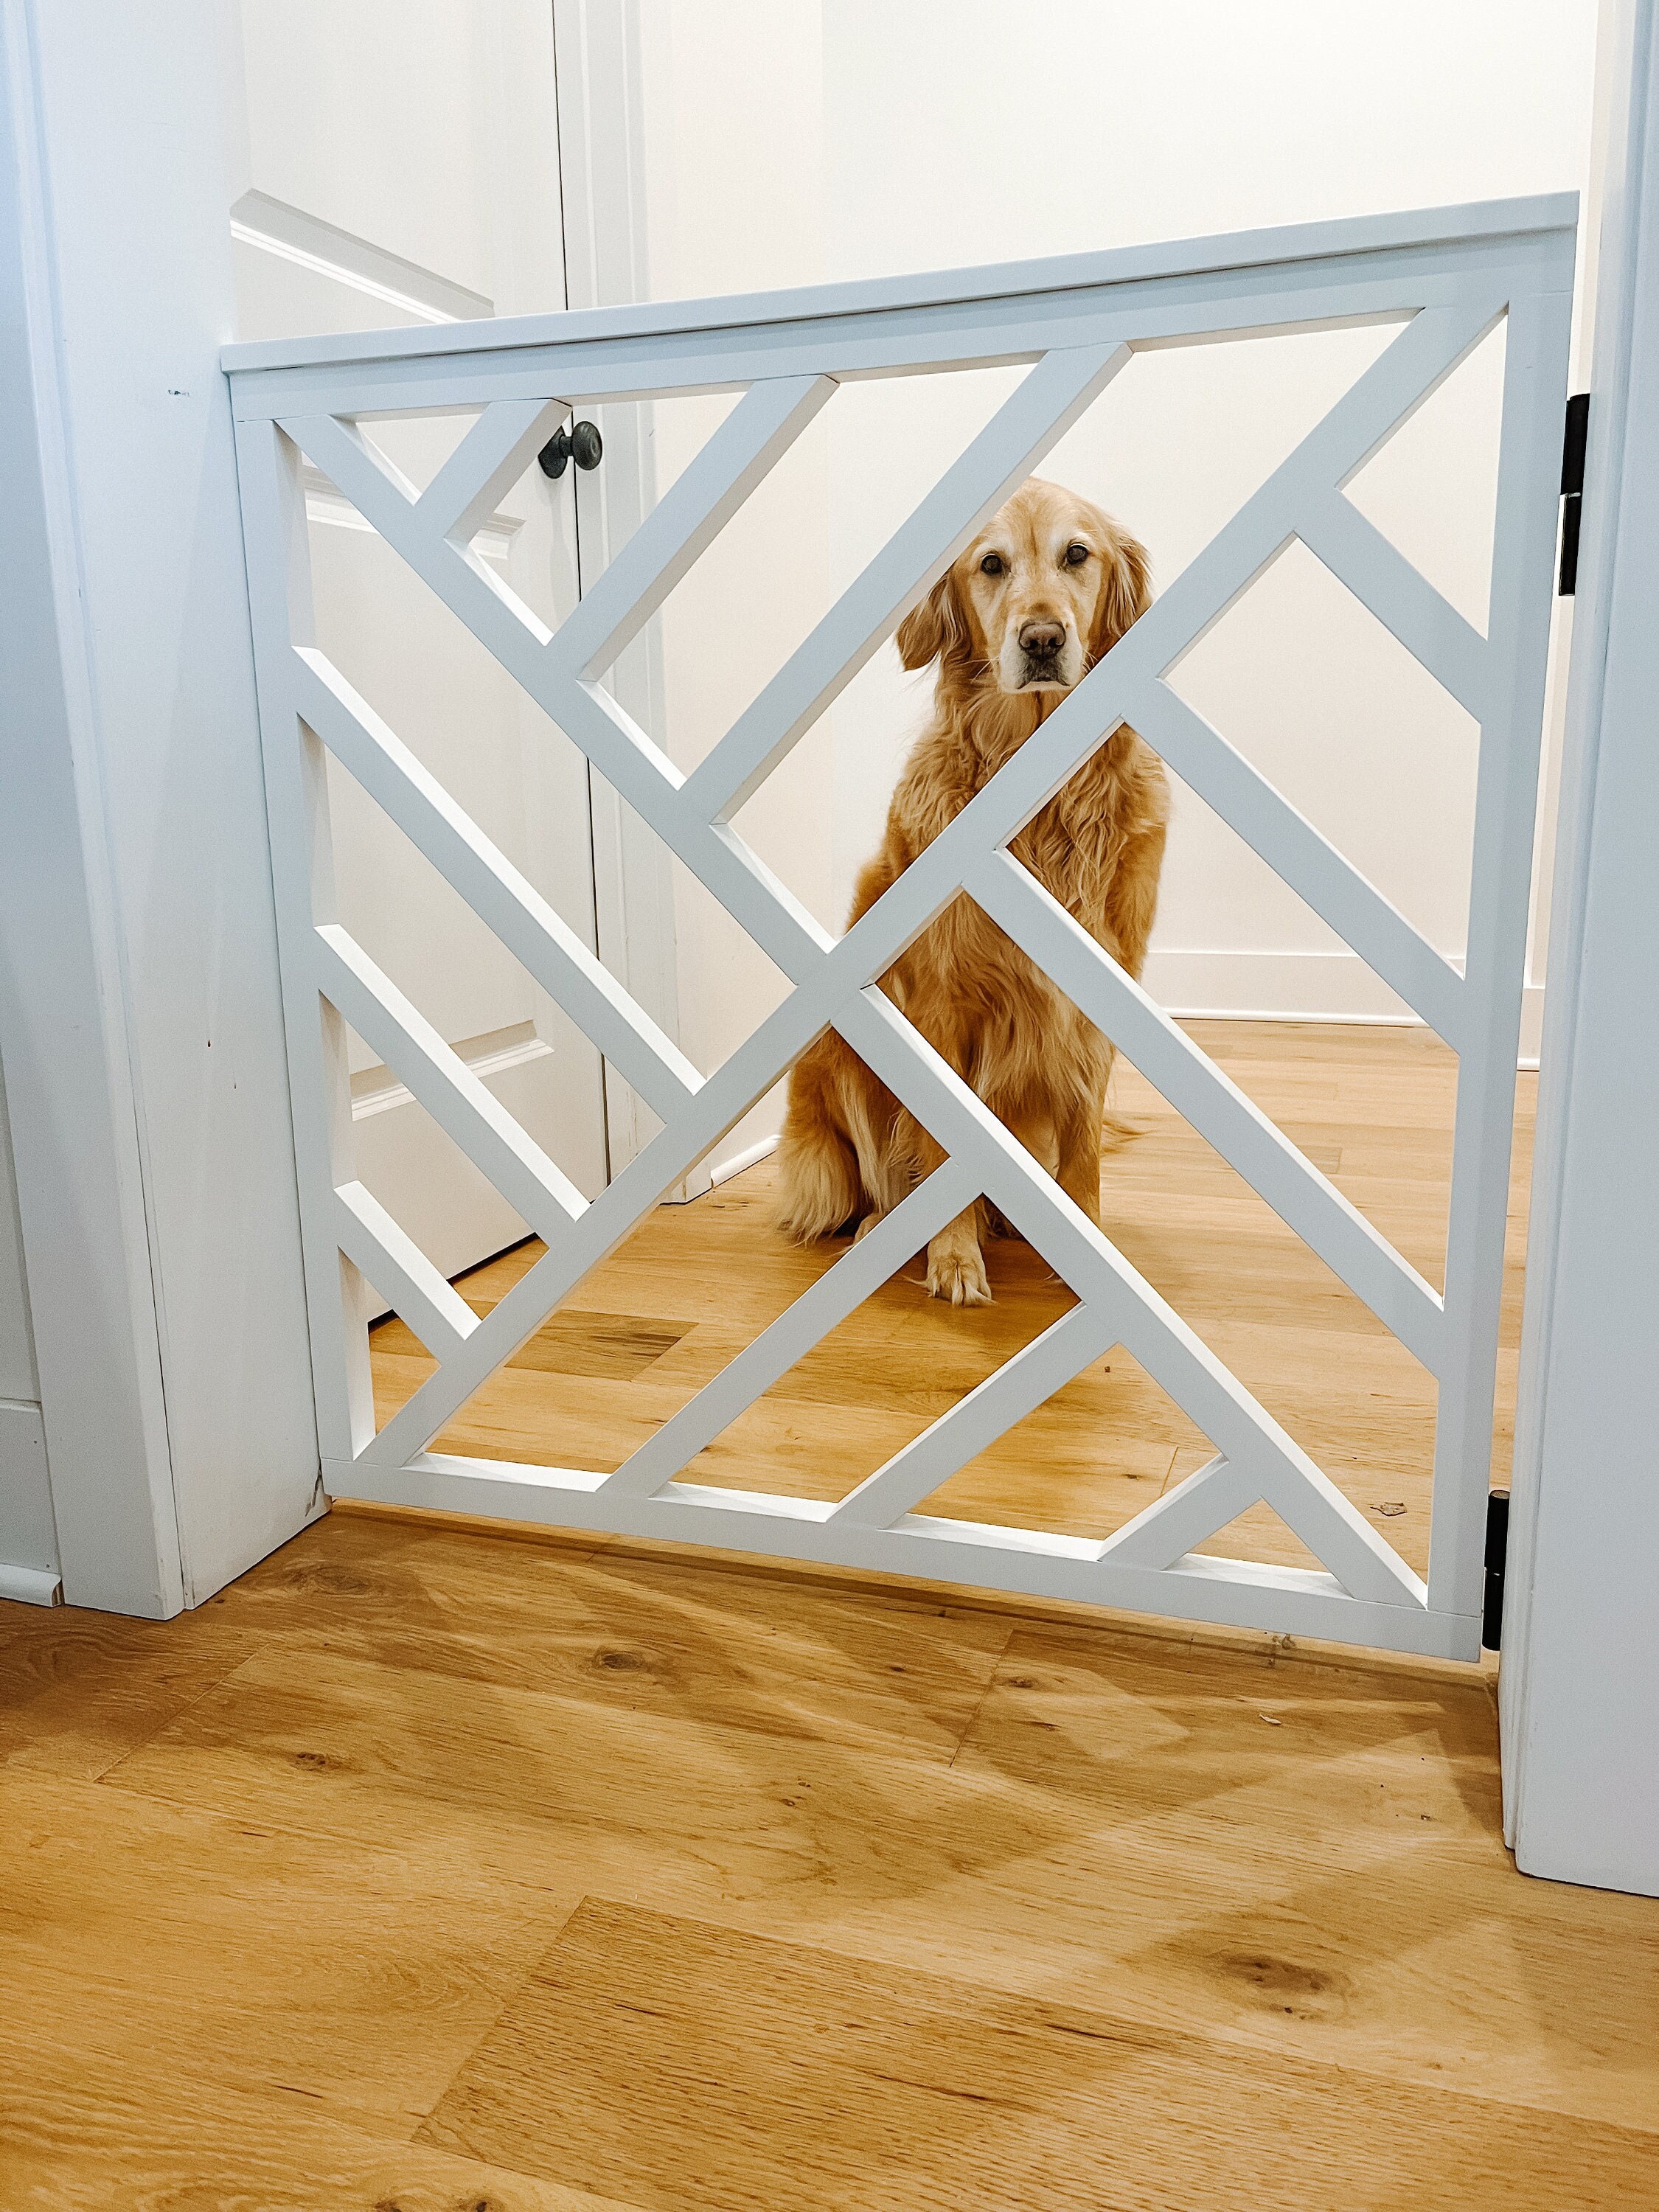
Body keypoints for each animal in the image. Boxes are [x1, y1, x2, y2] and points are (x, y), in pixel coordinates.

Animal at [779, 469, 1168, 1292]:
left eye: (1077, 554)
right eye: (991, 565)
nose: (1043, 639)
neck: (1044, 804)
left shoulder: (1099, 996)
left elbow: (1085, 1143)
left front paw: (1086, 1243)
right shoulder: (940, 1000)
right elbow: (942, 1144)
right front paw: (953, 1256)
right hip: (842, 1065)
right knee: (872, 1184)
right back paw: (884, 1231)